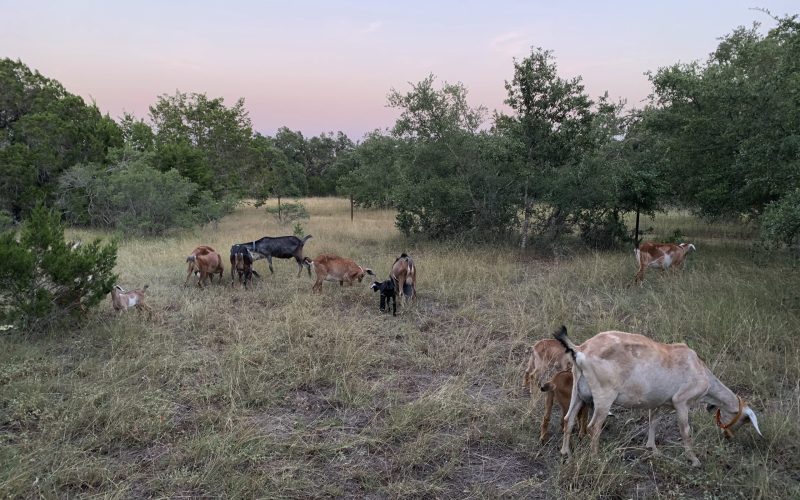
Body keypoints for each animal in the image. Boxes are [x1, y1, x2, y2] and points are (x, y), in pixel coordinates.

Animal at [554, 326, 762, 467]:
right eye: (744, 419)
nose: (728, 436)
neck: (702, 372)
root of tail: (581, 349)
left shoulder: (659, 403)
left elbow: (653, 421)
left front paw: (652, 448)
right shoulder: (681, 401)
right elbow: (685, 431)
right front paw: (694, 460)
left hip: (578, 391)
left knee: (568, 419)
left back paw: (565, 452)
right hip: (604, 396)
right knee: (594, 427)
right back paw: (596, 458)